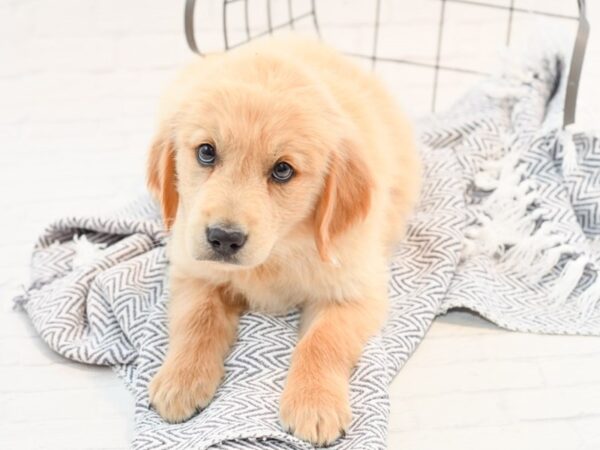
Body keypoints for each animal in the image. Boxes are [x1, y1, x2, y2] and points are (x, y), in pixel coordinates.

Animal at [147, 37, 422, 444]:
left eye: (282, 170)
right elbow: (198, 318)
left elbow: (323, 340)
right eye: (206, 152)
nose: (223, 239)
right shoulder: (192, 267)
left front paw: (315, 403)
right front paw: (180, 379)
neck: (279, 250)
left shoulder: (355, 289)